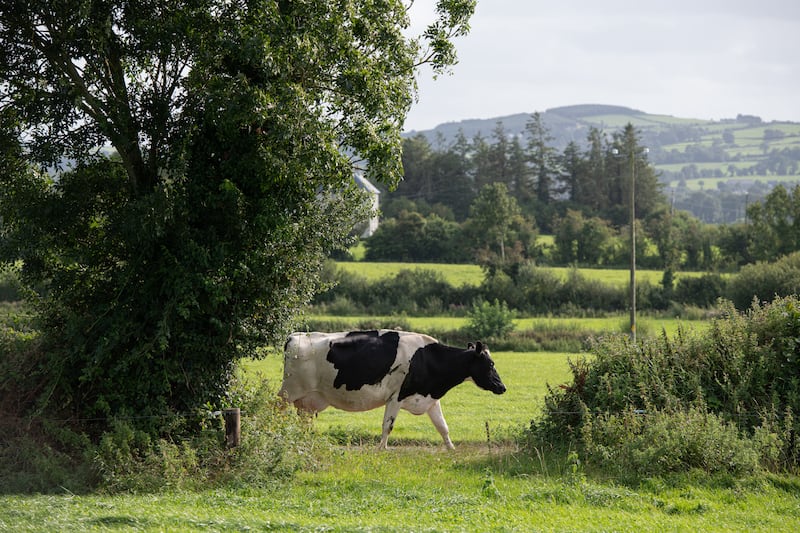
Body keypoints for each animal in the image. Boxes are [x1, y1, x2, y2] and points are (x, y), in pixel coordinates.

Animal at [279, 329, 506, 449]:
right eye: (491, 364)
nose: (502, 387)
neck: (428, 359)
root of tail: (294, 336)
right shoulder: (396, 396)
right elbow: (388, 425)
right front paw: (381, 449)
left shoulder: (430, 399)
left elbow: (443, 426)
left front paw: (452, 449)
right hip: (288, 393)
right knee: (278, 412)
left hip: (306, 400)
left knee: (303, 423)